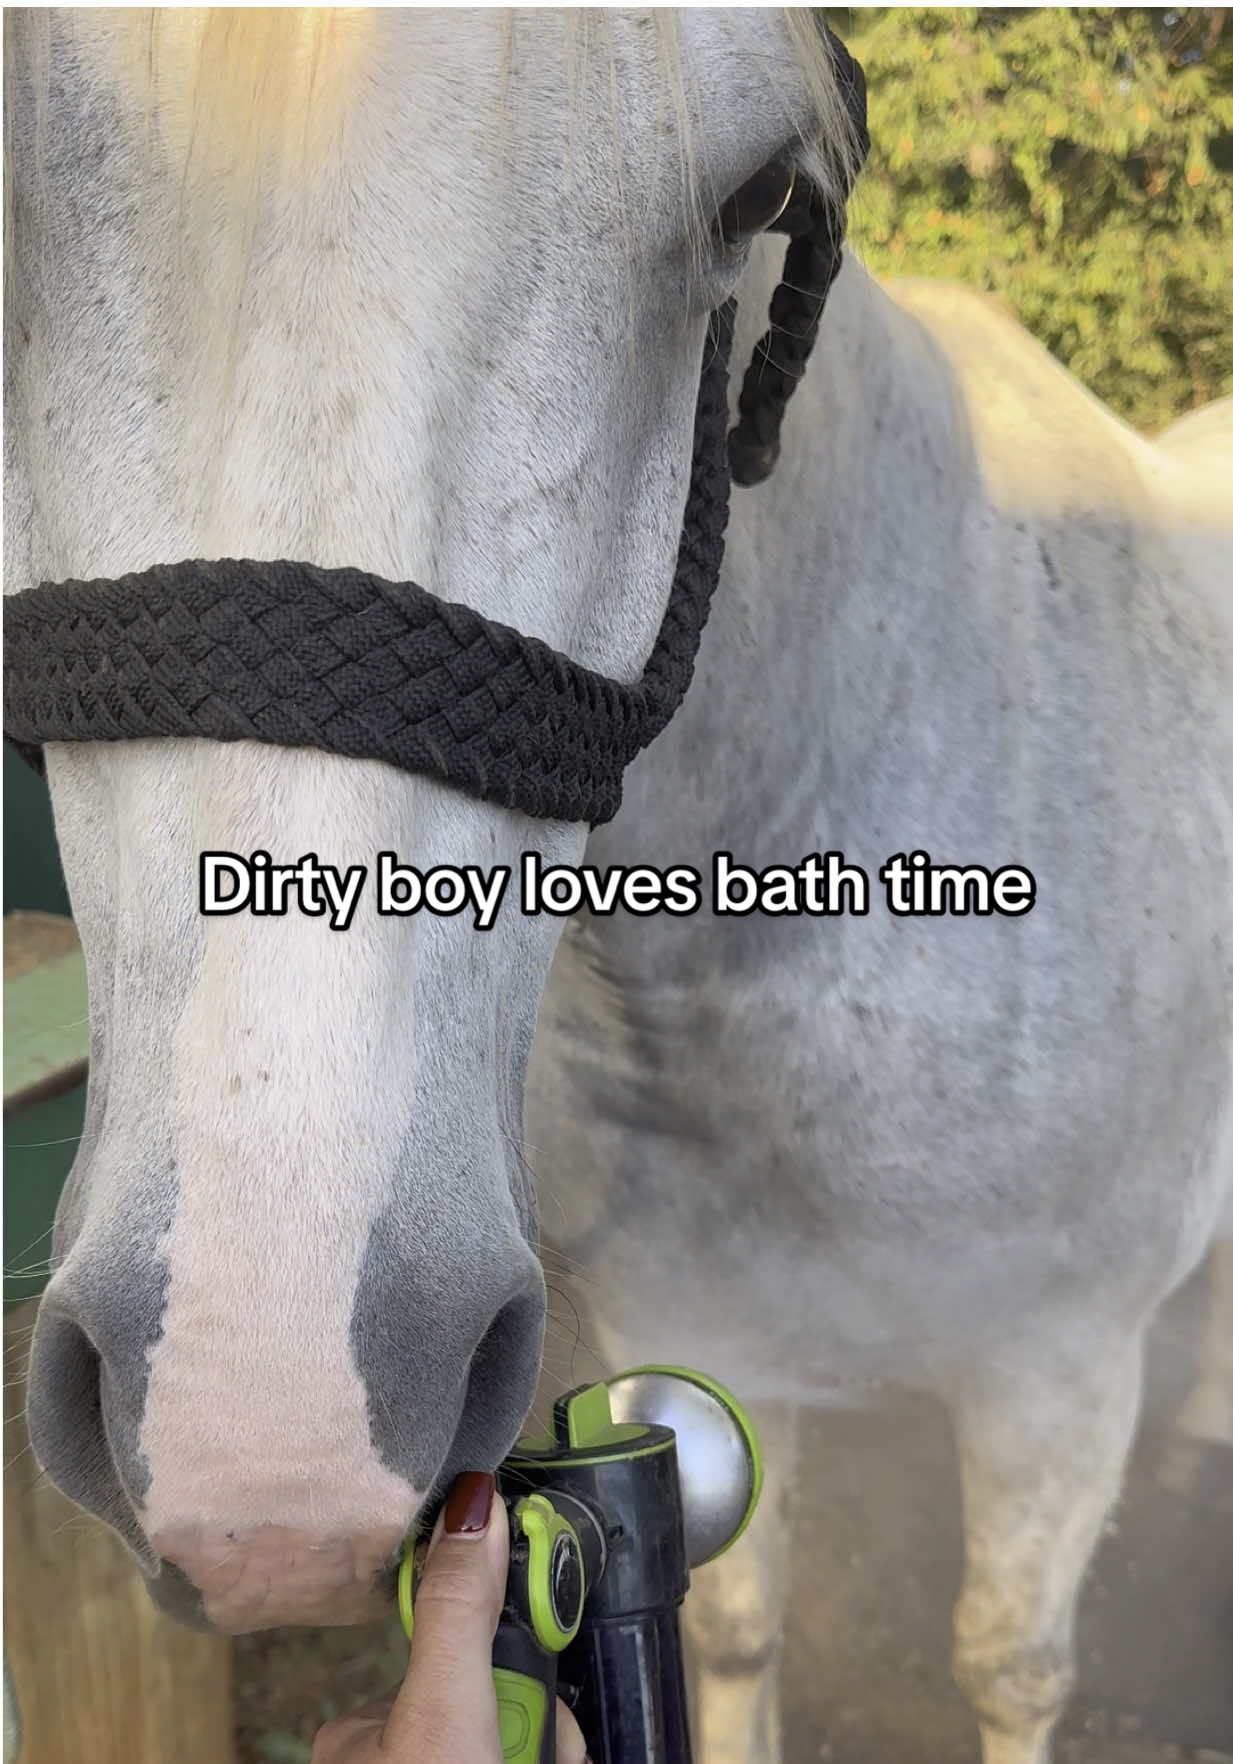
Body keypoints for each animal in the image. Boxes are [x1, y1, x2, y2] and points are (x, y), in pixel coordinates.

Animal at [5, 12, 1231, 1764]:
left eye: (759, 191)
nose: (267, 1429)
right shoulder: (702, 1331)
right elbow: (733, 1627)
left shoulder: (1056, 1371)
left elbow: (1010, 1667)